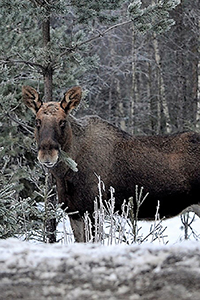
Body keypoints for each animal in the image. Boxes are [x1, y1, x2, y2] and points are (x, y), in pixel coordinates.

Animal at [22, 85, 200, 243]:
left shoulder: (92, 209)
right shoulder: (74, 212)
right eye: (37, 121)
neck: (64, 174)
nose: (47, 153)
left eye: (62, 122)